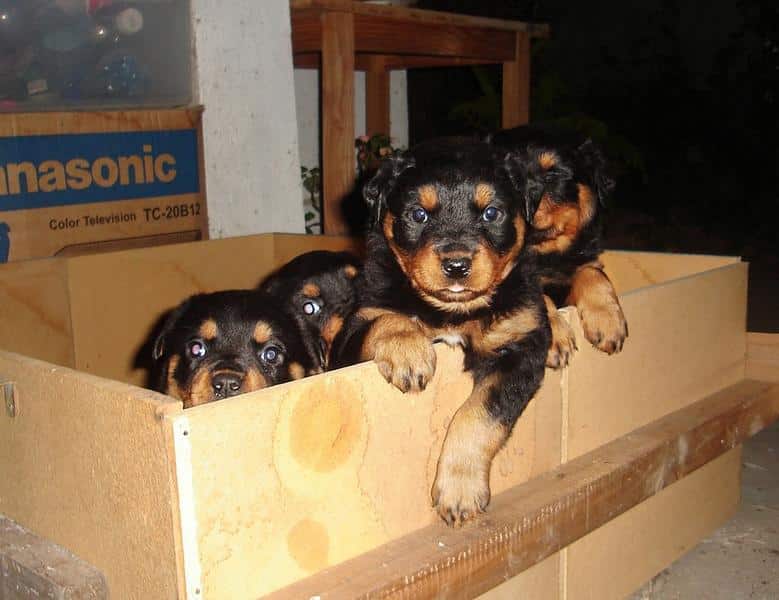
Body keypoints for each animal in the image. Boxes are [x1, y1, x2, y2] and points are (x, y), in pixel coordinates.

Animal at [332, 138, 552, 528]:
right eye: (419, 215)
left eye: (491, 213)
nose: (457, 265)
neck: (454, 312)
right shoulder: (358, 321)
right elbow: (387, 319)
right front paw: (409, 353)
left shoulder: (521, 346)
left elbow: (479, 415)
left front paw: (460, 491)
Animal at [490, 125, 632, 366]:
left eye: (552, 175)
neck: (542, 252)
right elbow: (537, 297)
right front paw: (555, 338)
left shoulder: (583, 258)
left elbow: (592, 273)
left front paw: (607, 320)